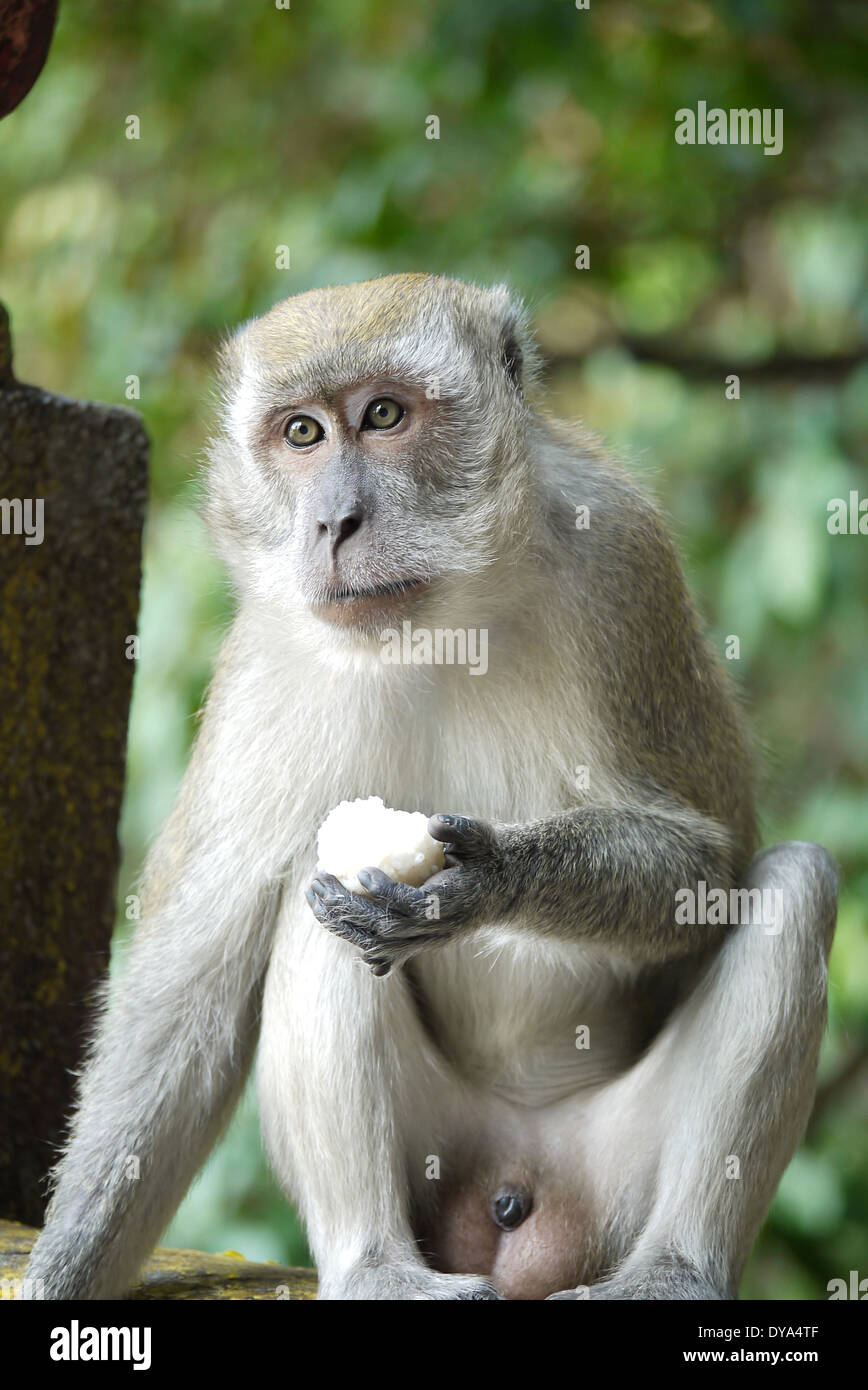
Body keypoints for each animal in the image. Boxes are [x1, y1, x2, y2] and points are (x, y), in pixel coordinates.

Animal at [23, 276, 840, 1295]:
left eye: (383, 416)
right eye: (302, 434)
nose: (333, 523)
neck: (442, 618)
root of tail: (519, 1182)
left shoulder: (621, 559)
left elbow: (707, 866)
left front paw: (492, 879)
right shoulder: (269, 655)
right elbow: (190, 992)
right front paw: (61, 1271)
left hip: (610, 1174)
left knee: (795, 888)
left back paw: (676, 1268)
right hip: (446, 1151)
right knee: (310, 904)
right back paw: (376, 1264)